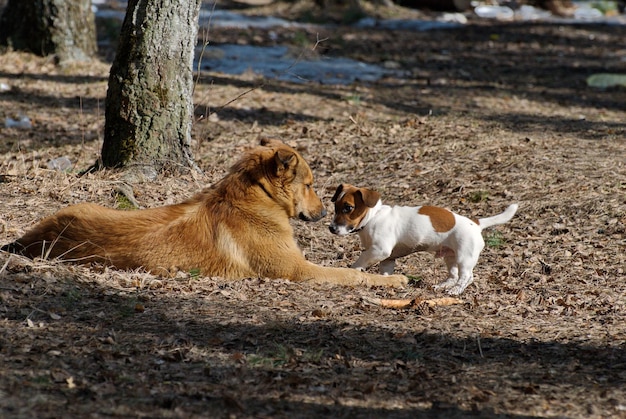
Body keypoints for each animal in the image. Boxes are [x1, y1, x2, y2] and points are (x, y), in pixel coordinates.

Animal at [1, 141, 404, 288]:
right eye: (309, 184)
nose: (324, 215)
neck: (257, 196)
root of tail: (30, 242)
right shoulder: (298, 270)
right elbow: (351, 275)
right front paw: (396, 281)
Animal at [326, 184, 516, 296]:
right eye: (335, 207)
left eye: (348, 208)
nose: (331, 228)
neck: (373, 217)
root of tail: (476, 224)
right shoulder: (387, 259)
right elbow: (385, 273)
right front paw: (387, 282)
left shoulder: (380, 250)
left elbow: (362, 259)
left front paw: (354, 270)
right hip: (450, 256)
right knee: (453, 275)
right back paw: (441, 286)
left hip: (464, 257)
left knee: (467, 277)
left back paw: (455, 290)